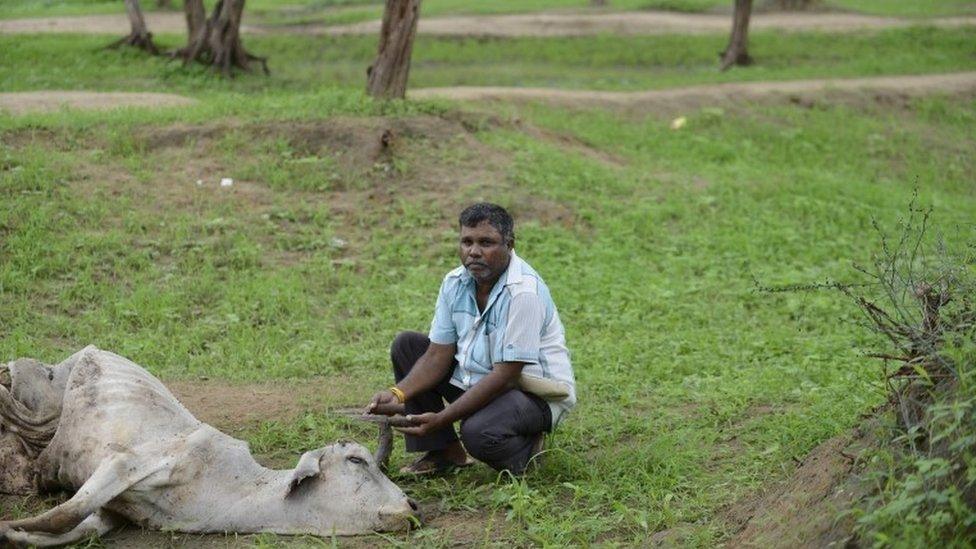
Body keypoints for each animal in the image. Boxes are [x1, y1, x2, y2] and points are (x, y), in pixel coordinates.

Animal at [0, 346, 416, 544]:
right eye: (357, 460)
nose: (412, 506)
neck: (236, 490)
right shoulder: (124, 463)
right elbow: (63, 515)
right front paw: (9, 526)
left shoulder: (113, 512)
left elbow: (74, 525)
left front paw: (17, 535)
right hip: (42, 393)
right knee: (15, 391)